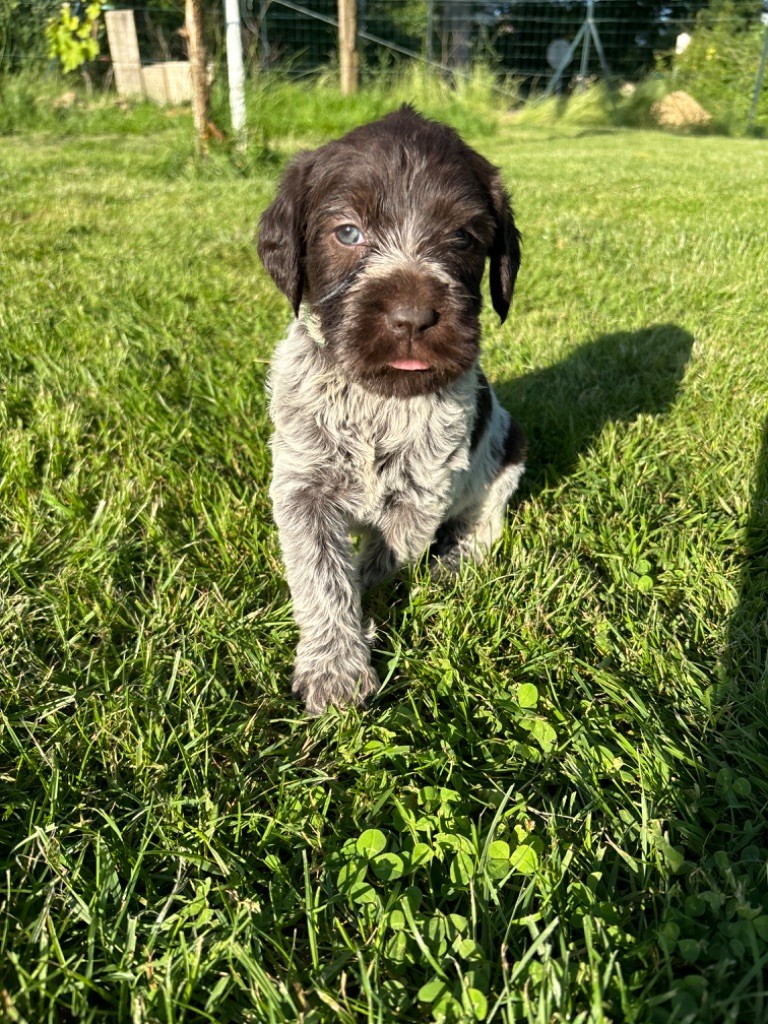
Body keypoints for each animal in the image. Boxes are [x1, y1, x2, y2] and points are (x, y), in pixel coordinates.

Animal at [259, 103, 528, 712]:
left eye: (462, 237)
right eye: (347, 233)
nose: (411, 319)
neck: (376, 400)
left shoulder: (422, 494)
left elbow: (381, 561)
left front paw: (366, 615)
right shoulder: (302, 488)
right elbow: (322, 575)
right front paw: (335, 664)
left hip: (508, 454)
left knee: (486, 522)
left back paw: (456, 562)